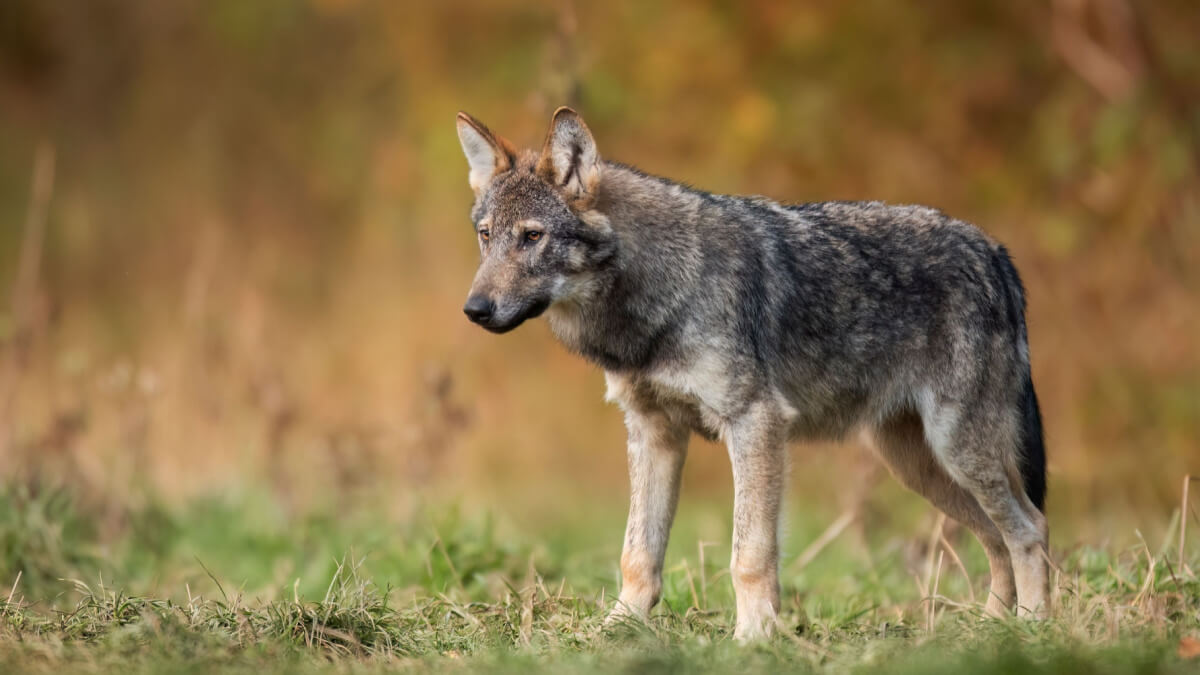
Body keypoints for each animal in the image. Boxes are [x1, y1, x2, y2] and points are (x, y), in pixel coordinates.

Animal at [453, 107, 1046, 638]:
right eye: (485, 235)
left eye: (532, 237)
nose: (475, 309)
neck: (659, 297)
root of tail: (994, 251)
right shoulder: (652, 432)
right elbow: (637, 554)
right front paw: (616, 629)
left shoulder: (755, 424)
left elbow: (750, 555)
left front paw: (754, 637)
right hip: (919, 467)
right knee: (998, 539)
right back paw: (992, 628)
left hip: (958, 452)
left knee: (1030, 530)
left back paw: (1032, 628)